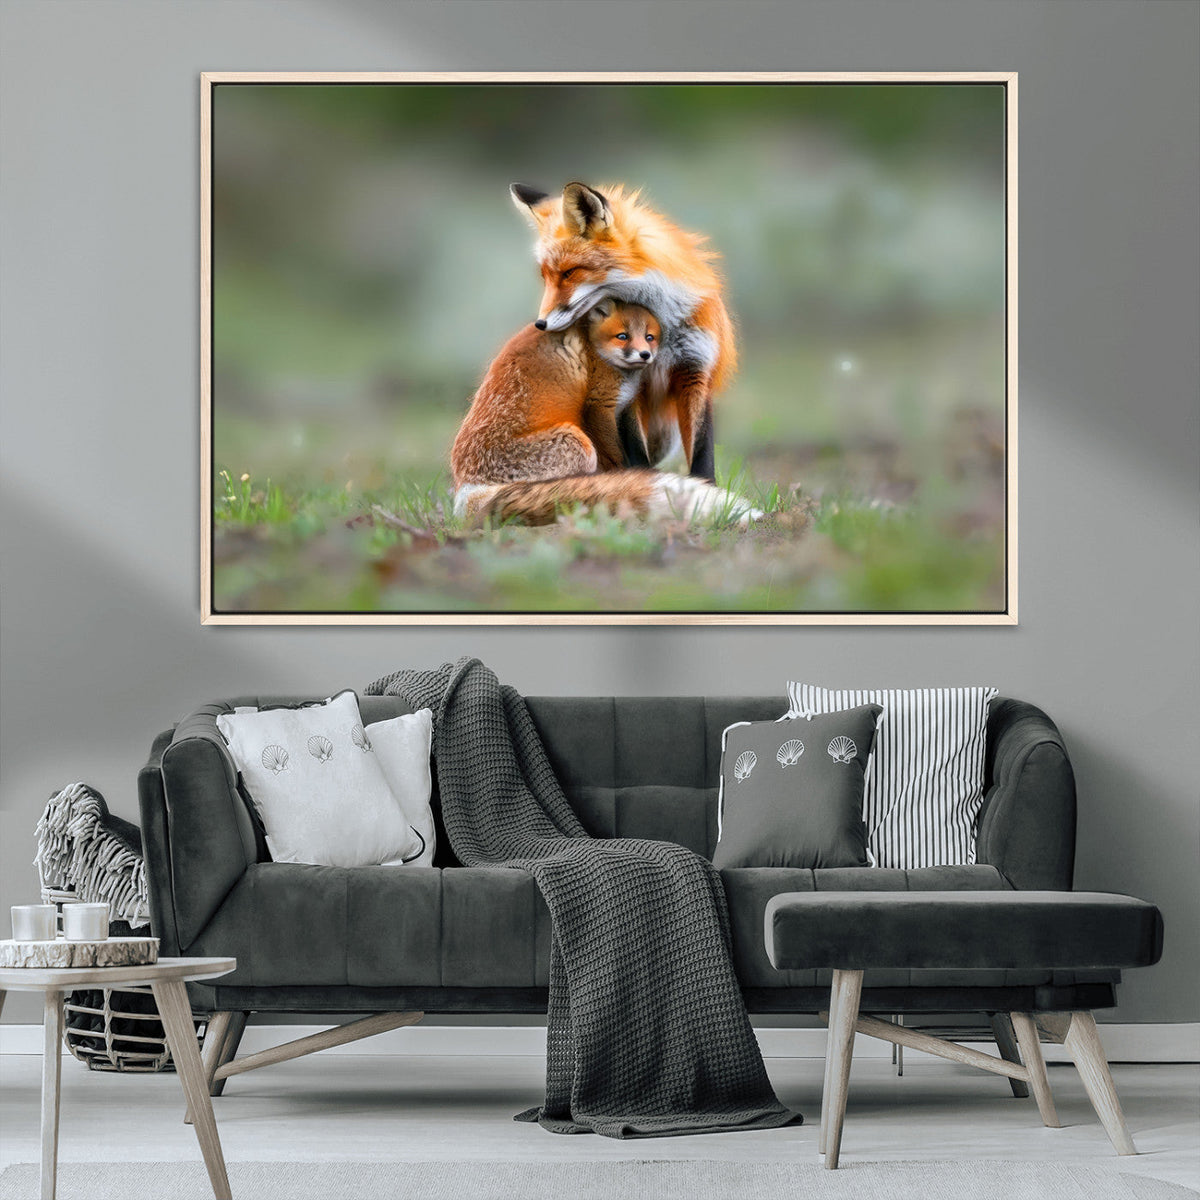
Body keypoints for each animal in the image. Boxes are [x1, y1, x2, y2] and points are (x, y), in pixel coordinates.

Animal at [451, 300, 755, 526]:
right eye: (622, 336)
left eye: (649, 337)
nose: (645, 355)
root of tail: (467, 489)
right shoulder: (599, 406)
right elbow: (618, 456)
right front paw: (629, 480)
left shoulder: (626, 407)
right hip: (578, 443)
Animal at [510, 181, 737, 483]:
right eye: (545, 277)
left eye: (569, 273)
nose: (540, 324)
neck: (662, 328)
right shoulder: (630, 385)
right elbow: (636, 451)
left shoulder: (695, 370)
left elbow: (702, 453)